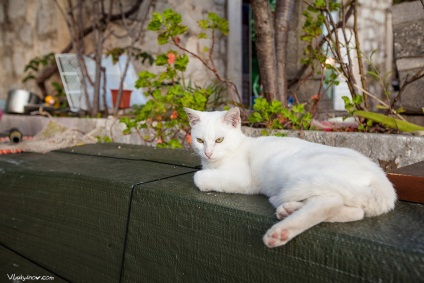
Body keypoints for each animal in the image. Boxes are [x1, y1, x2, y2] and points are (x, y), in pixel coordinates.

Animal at [186, 108, 398, 248]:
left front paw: (203, 177)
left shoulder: (242, 178)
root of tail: (379, 175)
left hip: (304, 175)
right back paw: (288, 210)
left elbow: (198, 176)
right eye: (200, 140)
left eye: (219, 140)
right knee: (355, 211)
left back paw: (281, 232)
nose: (208, 153)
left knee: (330, 202)